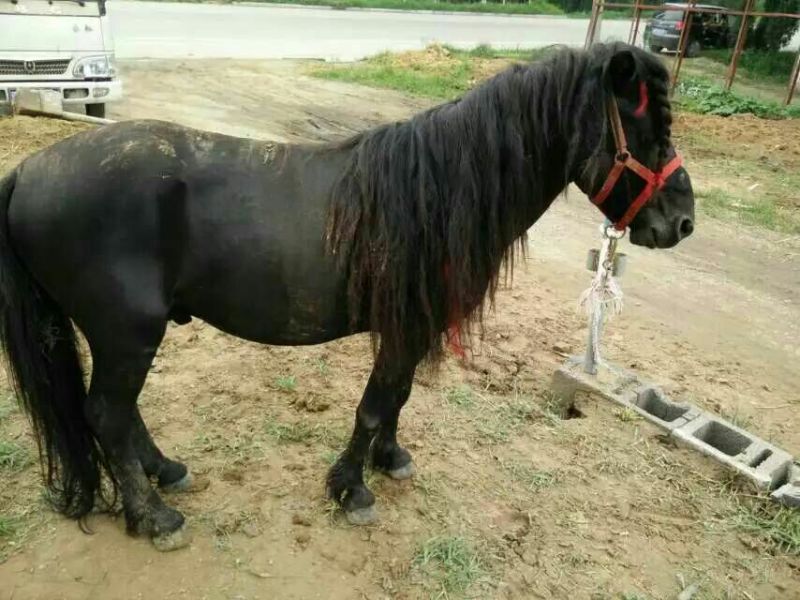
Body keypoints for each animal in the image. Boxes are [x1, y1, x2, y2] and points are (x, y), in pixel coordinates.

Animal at [0, 42, 694, 550]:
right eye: (649, 128)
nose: (683, 223)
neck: (438, 189)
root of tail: (28, 172)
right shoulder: (404, 327)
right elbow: (374, 404)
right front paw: (351, 489)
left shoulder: (412, 328)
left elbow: (398, 398)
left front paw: (389, 460)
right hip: (128, 333)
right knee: (107, 416)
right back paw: (154, 516)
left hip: (122, 336)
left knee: (119, 415)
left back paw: (164, 473)